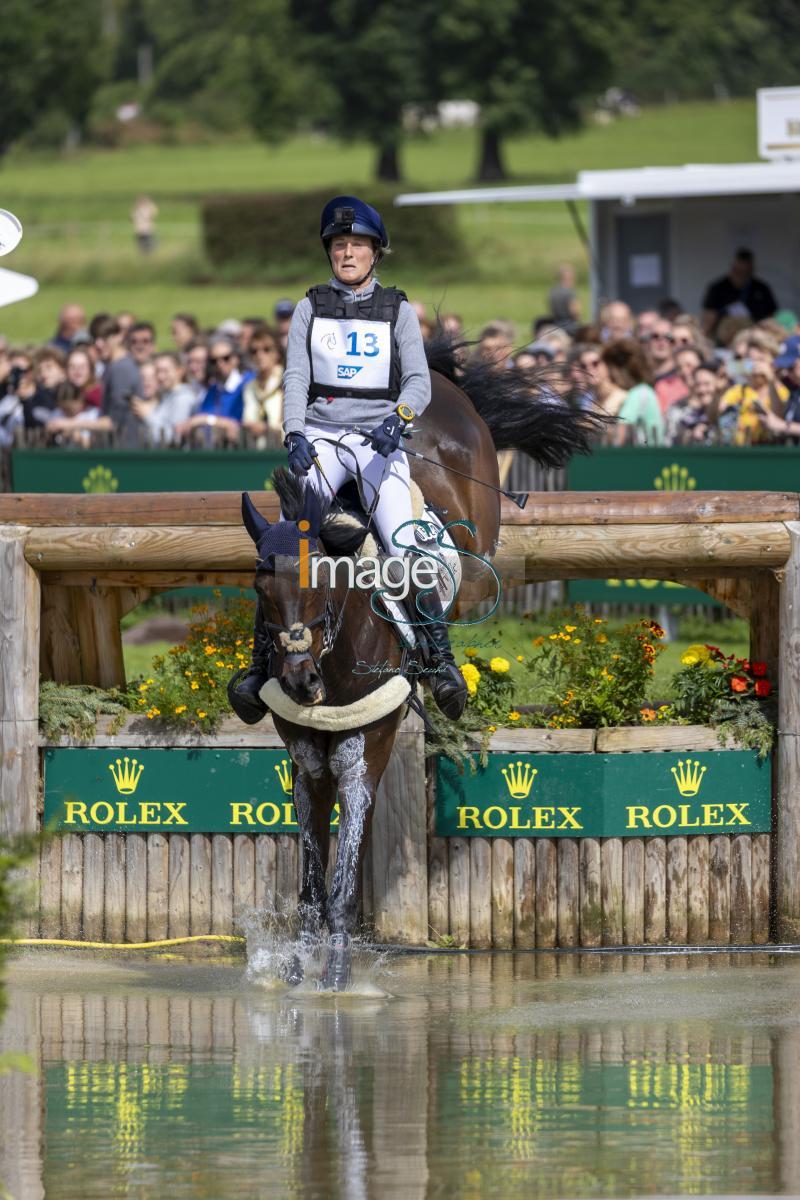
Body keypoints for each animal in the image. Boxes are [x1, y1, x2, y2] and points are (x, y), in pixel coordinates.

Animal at [241, 343, 604, 988]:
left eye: (323, 582)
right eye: (262, 591)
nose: (299, 681)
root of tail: (442, 379)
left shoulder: (362, 758)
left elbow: (340, 886)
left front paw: (336, 981)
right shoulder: (307, 764)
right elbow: (311, 885)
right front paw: (296, 973)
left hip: (475, 537)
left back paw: (447, 676)